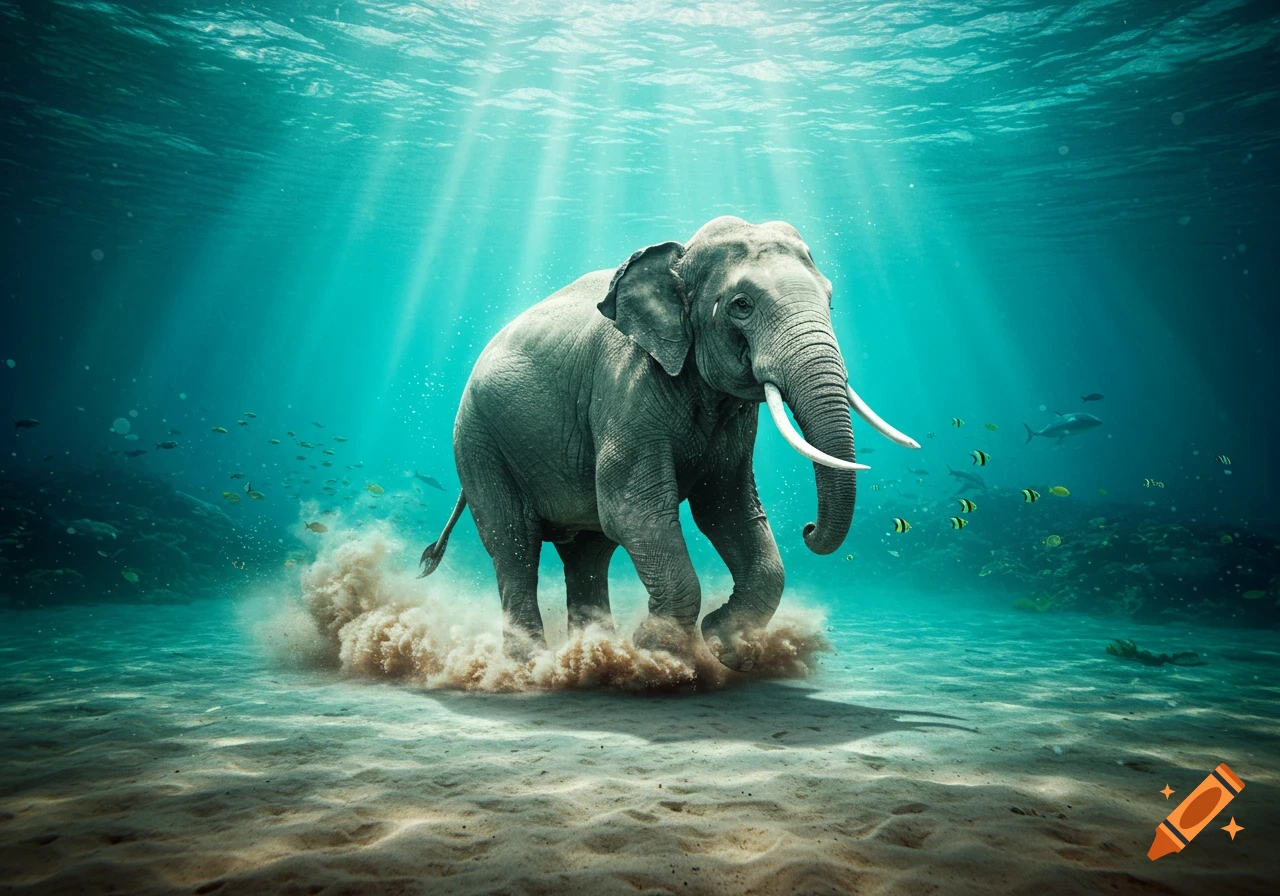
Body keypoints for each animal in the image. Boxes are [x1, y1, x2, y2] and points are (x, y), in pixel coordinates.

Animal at [419, 216, 918, 670]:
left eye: (830, 300)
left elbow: (727, 509)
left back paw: (593, 656)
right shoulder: (626, 386)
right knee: (514, 543)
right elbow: (634, 509)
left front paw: (722, 643)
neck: (679, 260)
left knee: (588, 552)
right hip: (478, 440)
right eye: (741, 305)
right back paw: (533, 666)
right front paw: (660, 651)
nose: (808, 529)